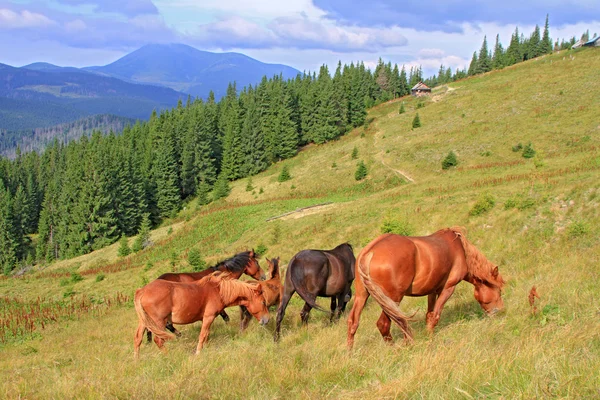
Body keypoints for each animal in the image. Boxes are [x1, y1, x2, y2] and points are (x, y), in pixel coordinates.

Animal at [136, 272, 270, 356]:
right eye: (263, 302)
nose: (267, 320)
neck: (218, 290)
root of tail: (142, 291)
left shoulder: (207, 319)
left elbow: (206, 335)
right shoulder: (208, 317)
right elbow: (202, 335)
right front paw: (198, 353)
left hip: (144, 322)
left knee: (137, 339)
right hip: (159, 322)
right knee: (158, 340)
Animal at [346, 228, 506, 350]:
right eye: (499, 291)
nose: (500, 312)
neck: (460, 250)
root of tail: (369, 252)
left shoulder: (432, 291)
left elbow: (429, 315)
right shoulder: (448, 288)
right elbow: (435, 316)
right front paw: (429, 339)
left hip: (362, 296)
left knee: (353, 322)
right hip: (393, 299)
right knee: (385, 324)